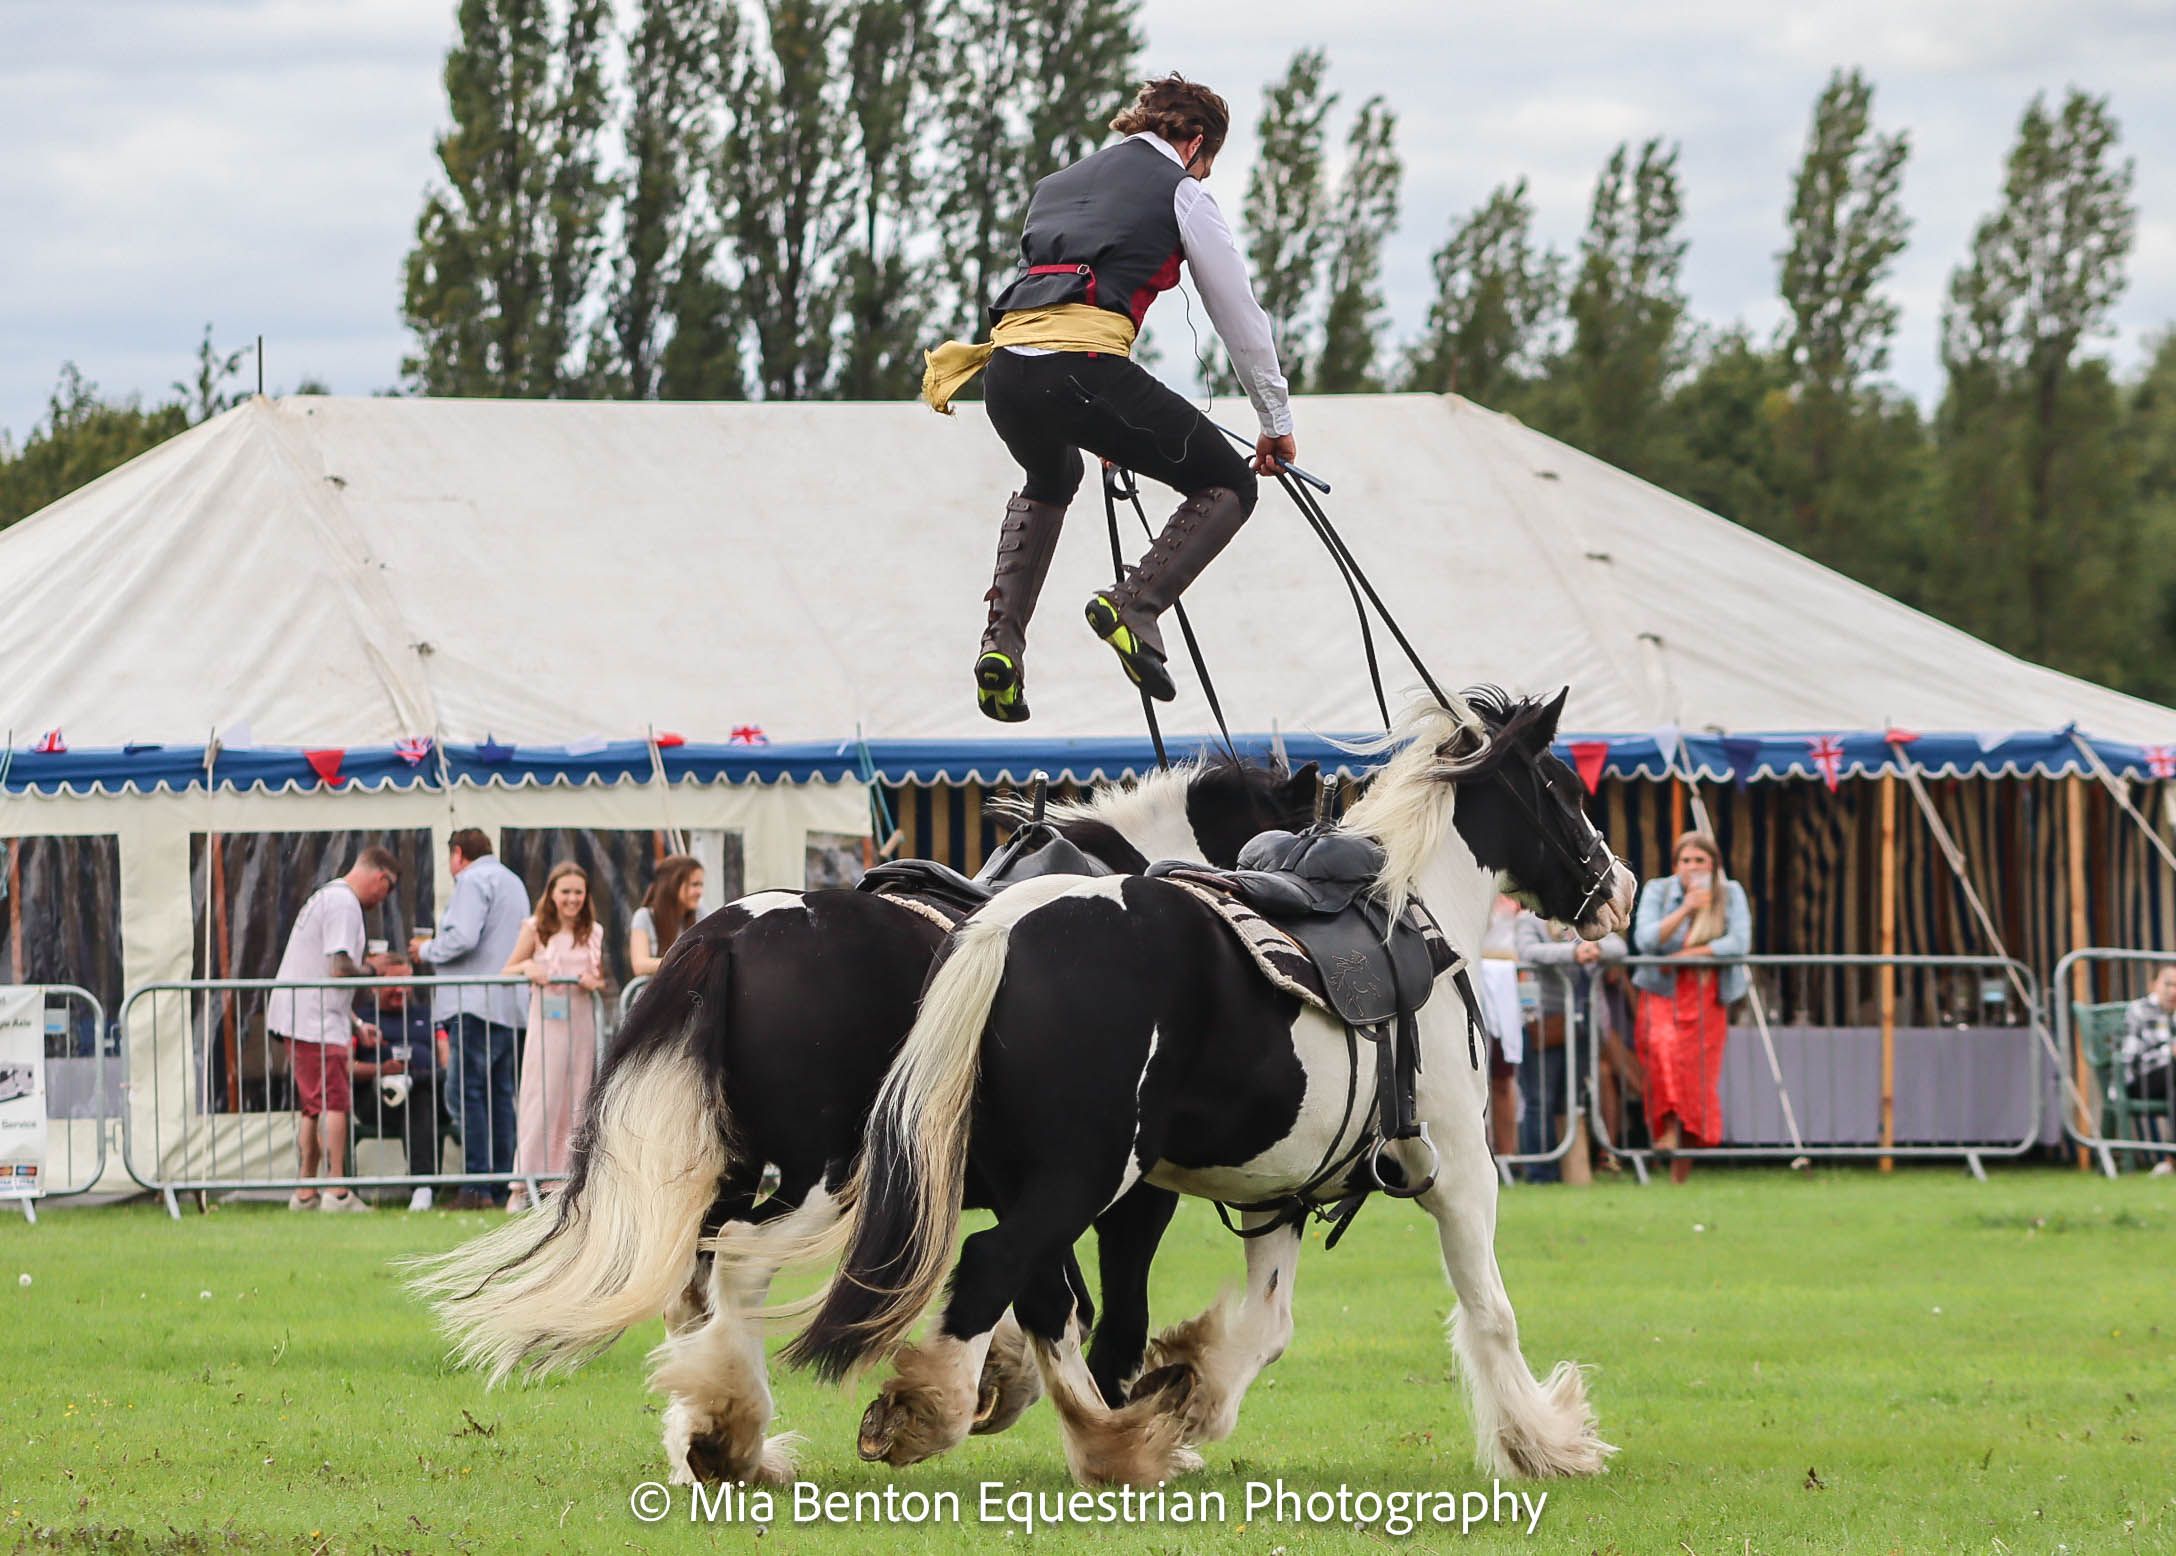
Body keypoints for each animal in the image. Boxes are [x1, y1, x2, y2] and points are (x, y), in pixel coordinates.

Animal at [415, 761, 1314, 1488]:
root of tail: (728, 934)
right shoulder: (1125, 1193)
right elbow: (1102, 1314)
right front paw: (1123, 1427)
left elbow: (1049, 1299)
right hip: (820, 1179)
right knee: (735, 1264)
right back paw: (734, 1435)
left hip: (737, 1171)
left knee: (694, 1287)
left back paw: (713, 1432)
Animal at [783, 692, 1636, 1488]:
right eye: (1566, 788)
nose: (1620, 886)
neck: (1415, 913)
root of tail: (1003, 928)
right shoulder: (1457, 1169)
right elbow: (1490, 1312)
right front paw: (1546, 1442)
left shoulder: (1277, 1193)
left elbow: (1265, 1324)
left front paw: (1189, 1391)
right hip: (1080, 1177)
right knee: (997, 1267)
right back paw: (948, 1415)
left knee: (1040, 1297)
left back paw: (1113, 1441)